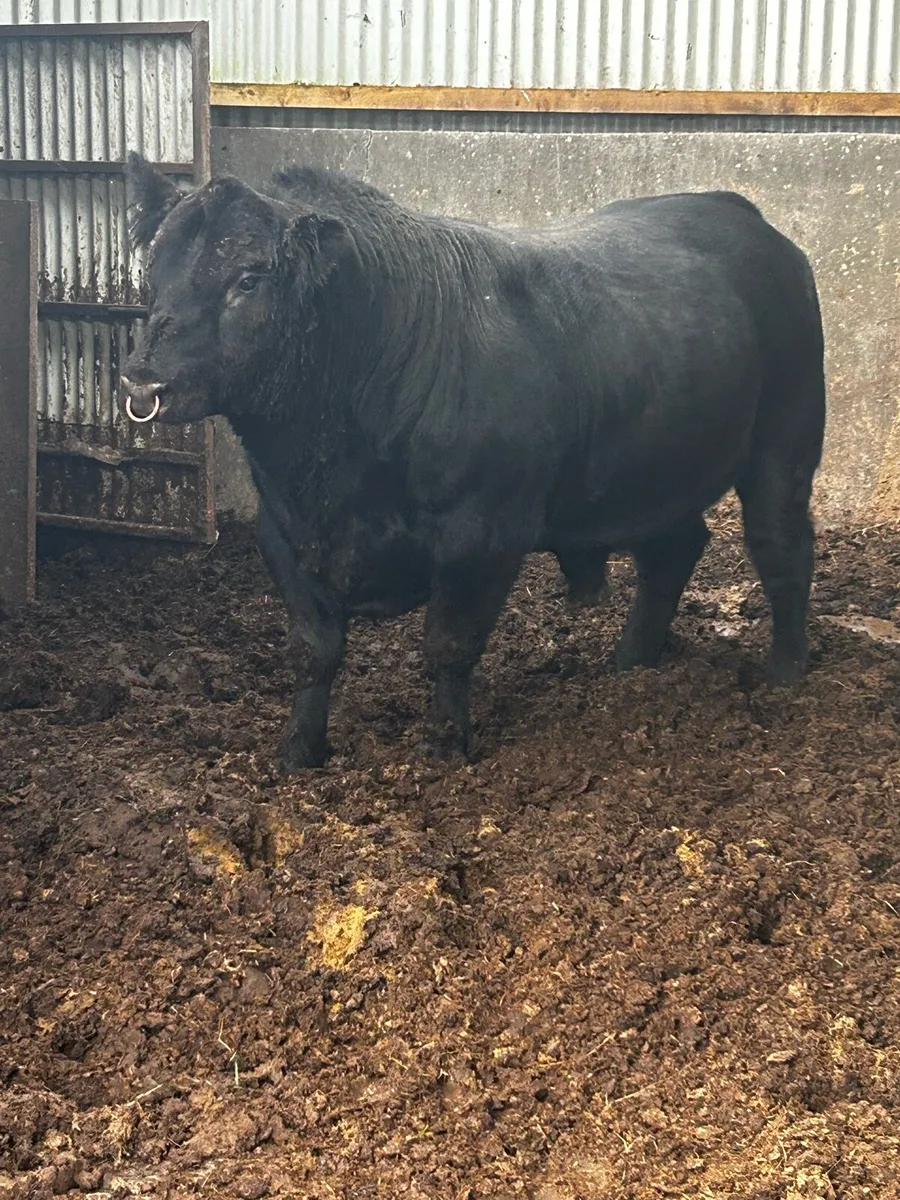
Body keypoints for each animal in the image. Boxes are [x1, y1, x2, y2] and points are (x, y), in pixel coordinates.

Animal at [121, 153, 826, 773]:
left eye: (247, 280)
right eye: (154, 273)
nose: (143, 378)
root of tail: (738, 212)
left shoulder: (480, 536)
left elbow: (449, 644)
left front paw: (442, 745)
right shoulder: (284, 535)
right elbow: (312, 652)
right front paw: (298, 752)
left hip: (785, 441)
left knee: (781, 547)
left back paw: (785, 672)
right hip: (653, 472)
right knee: (673, 549)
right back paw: (630, 661)